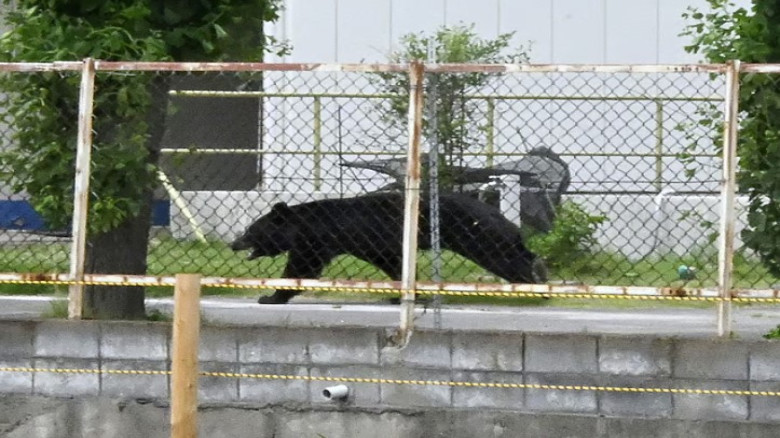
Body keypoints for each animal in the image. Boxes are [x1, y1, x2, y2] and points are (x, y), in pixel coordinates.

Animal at [230, 192, 546, 304]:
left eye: (251, 230)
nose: (234, 243)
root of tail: (494, 210)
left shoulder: (318, 240)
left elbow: (302, 265)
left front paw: (270, 296)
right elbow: (393, 262)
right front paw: (398, 293)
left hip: (474, 234)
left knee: (502, 253)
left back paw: (533, 282)